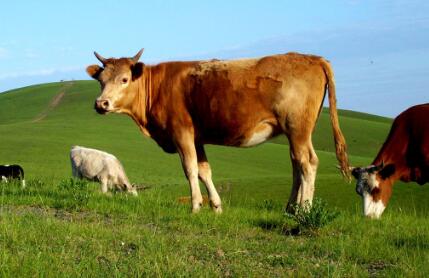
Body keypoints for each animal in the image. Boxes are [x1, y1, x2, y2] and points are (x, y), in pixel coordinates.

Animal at [85, 48, 350, 213]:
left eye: (124, 79)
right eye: (101, 80)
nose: (100, 104)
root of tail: (313, 58)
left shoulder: (181, 132)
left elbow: (190, 169)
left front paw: (195, 206)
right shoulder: (197, 138)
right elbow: (205, 171)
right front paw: (216, 206)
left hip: (297, 128)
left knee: (308, 163)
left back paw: (304, 210)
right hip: (296, 133)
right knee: (297, 165)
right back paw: (290, 209)